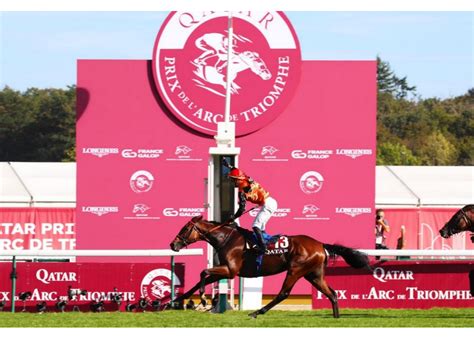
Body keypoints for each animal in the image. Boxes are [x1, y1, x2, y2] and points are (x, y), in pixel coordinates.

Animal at [170, 216, 370, 318]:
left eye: (184, 229)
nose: (173, 245)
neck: (226, 239)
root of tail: (320, 244)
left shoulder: (231, 270)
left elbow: (203, 272)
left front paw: (203, 299)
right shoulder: (224, 269)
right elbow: (200, 279)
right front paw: (175, 300)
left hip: (296, 270)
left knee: (283, 293)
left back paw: (257, 312)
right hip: (314, 274)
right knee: (332, 293)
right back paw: (336, 317)